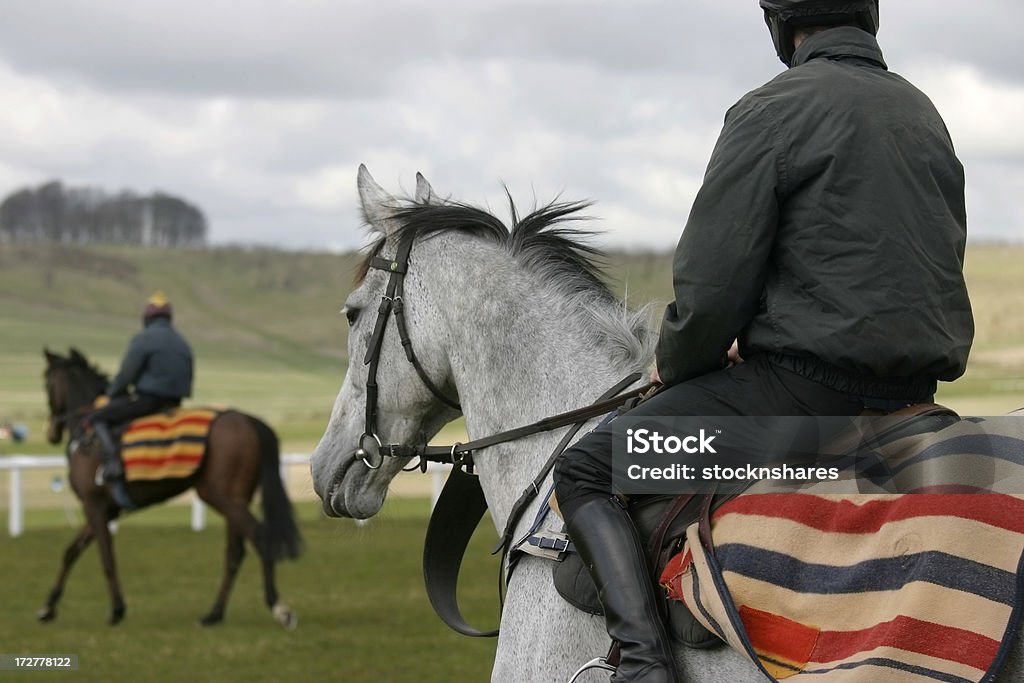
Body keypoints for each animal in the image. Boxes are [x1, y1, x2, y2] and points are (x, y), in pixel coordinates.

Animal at [40, 350, 303, 626]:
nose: (51, 432)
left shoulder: (94, 505)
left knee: (259, 538)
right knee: (235, 552)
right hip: (236, 498)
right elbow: (71, 551)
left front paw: (117, 609)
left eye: (46, 381)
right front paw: (48, 607)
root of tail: (246, 419)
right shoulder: (106, 510)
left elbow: (106, 558)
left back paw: (279, 608)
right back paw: (214, 614)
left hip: (222, 497)